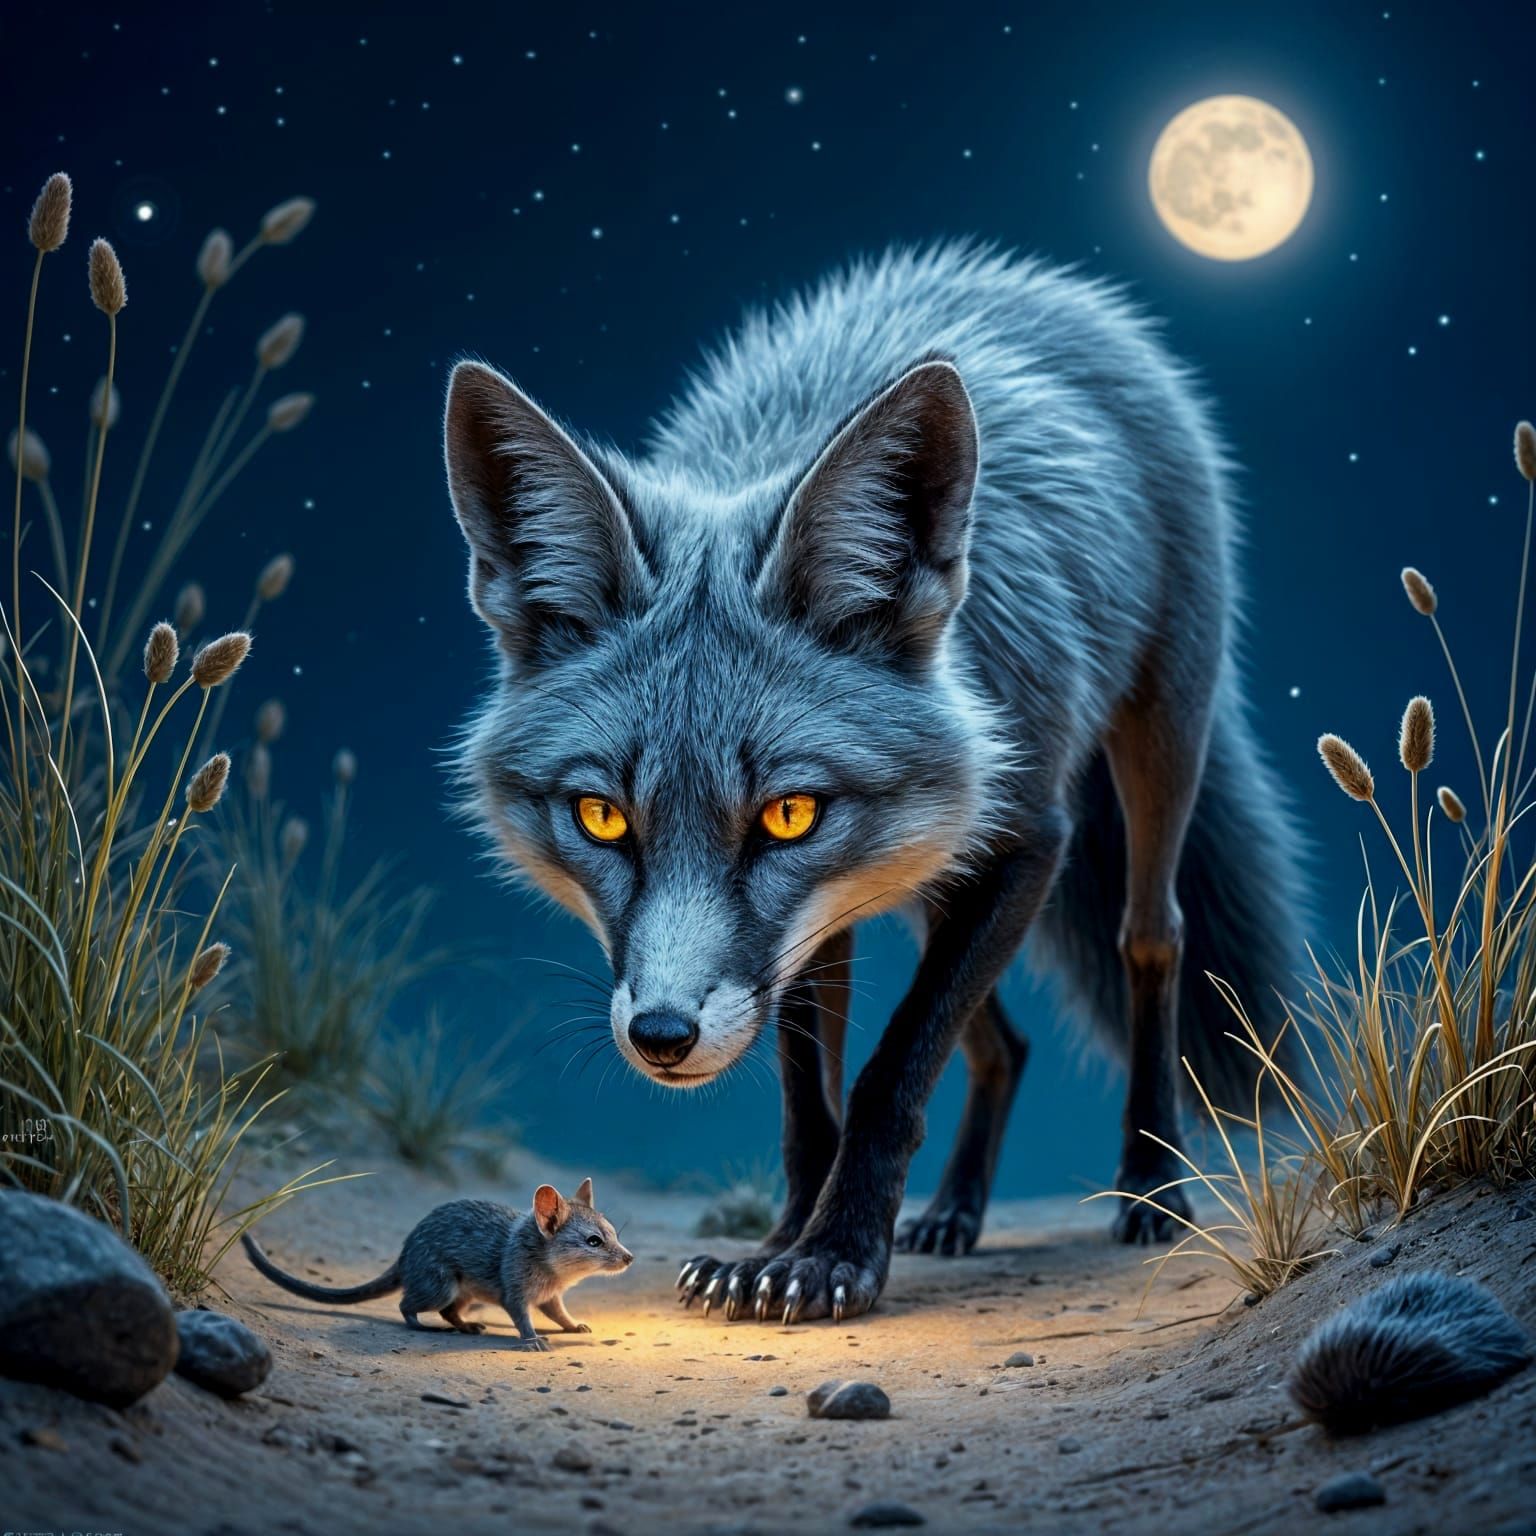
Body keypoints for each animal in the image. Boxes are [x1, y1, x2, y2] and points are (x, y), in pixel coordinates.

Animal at [442, 242, 1304, 1327]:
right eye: (602, 817)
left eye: (787, 814)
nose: (663, 1037)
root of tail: (1022, 280)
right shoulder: (820, 931)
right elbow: (809, 1096)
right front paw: (783, 1242)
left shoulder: (1030, 841)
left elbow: (891, 1071)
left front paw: (834, 1257)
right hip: (912, 884)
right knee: (1003, 1045)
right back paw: (956, 1213)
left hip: (1152, 753)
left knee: (1155, 939)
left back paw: (1152, 1184)